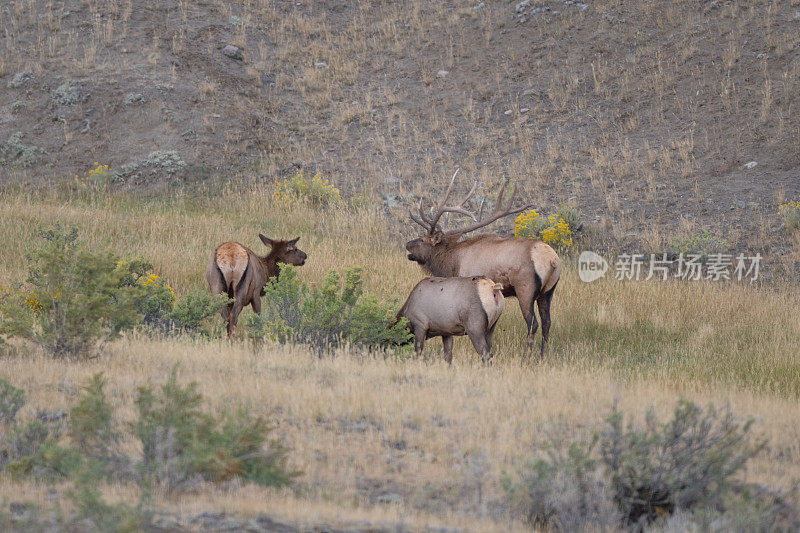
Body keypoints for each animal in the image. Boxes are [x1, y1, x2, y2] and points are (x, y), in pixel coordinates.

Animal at [406, 168, 564, 358]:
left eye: (422, 240)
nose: (407, 244)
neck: (452, 264)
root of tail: (552, 260)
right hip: (548, 291)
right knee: (547, 322)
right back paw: (541, 357)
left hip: (525, 288)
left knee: (533, 323)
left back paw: (525, 359)